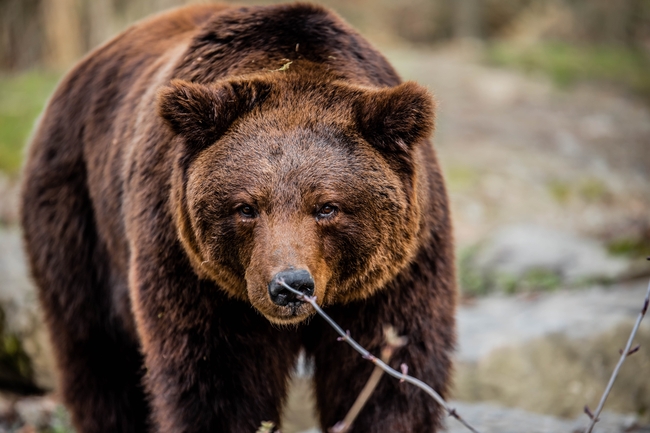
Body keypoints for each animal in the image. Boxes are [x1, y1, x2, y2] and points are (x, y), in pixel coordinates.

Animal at [20, 3, 456, 433]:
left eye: (327, 206)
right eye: (246, 207)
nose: (290, 286)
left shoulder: (392, 278)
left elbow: (388, 382)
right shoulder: (193, 272)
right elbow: (217, 385)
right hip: (78, 218)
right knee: (98, 359)